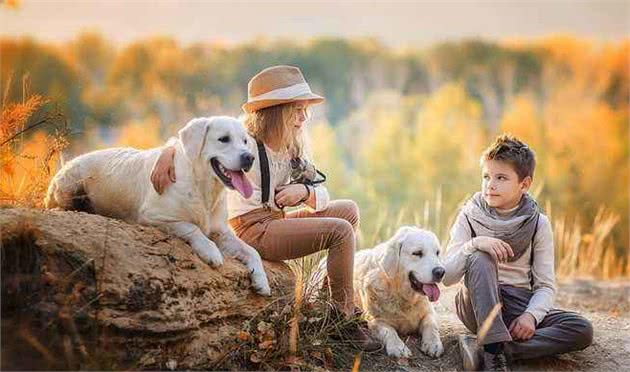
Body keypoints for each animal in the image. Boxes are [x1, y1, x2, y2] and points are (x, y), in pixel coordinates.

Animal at [43, 116, 272, 296]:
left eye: (245, 141)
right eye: (224, 139)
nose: (249, 157)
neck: (203, 188)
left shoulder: (222, 231)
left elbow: (252, 250)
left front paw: (261, 280)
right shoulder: (154, 216)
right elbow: (193, 228)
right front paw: (211, 252)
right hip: (71, 183)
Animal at [354, 227, 446, 358]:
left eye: (437, 253)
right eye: (417, 253)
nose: (440, 272)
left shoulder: (429, 313)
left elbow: (431, 325)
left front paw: (433, 344)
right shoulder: (374, 320)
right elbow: (389, 331)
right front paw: (398, 347)